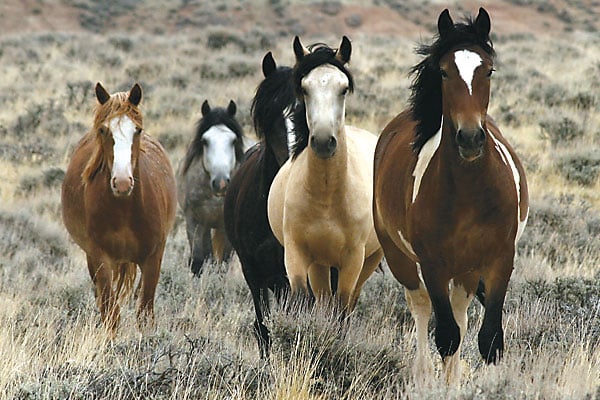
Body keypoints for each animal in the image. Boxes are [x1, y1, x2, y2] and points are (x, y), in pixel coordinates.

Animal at [61, 82, 177, 334]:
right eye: (104, 131)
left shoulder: (153, 258)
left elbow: (145, 314)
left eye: (138, 130)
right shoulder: (100, 258)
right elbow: (111, 314)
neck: (124, 212)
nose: (122, 182)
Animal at [268, 38, 384, 316]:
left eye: (343, 89)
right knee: (322, 298)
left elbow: (342, 307)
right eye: (304, 89)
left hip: (369, 260)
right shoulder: (297, 254)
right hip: (319, 264)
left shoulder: (353, 259)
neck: (327, 197)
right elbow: (302, 299)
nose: (322, 141)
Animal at [372, 7, 528, 382]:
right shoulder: (433, 264)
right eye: (444, 71)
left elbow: (489, 340)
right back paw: (423, 374)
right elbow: (446, 337)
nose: (469, 139)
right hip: (402, 260)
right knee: (421, 308)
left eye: (488, 70)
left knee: (460, 313)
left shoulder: (500, 260)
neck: (470, 193)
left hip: (467, 271)